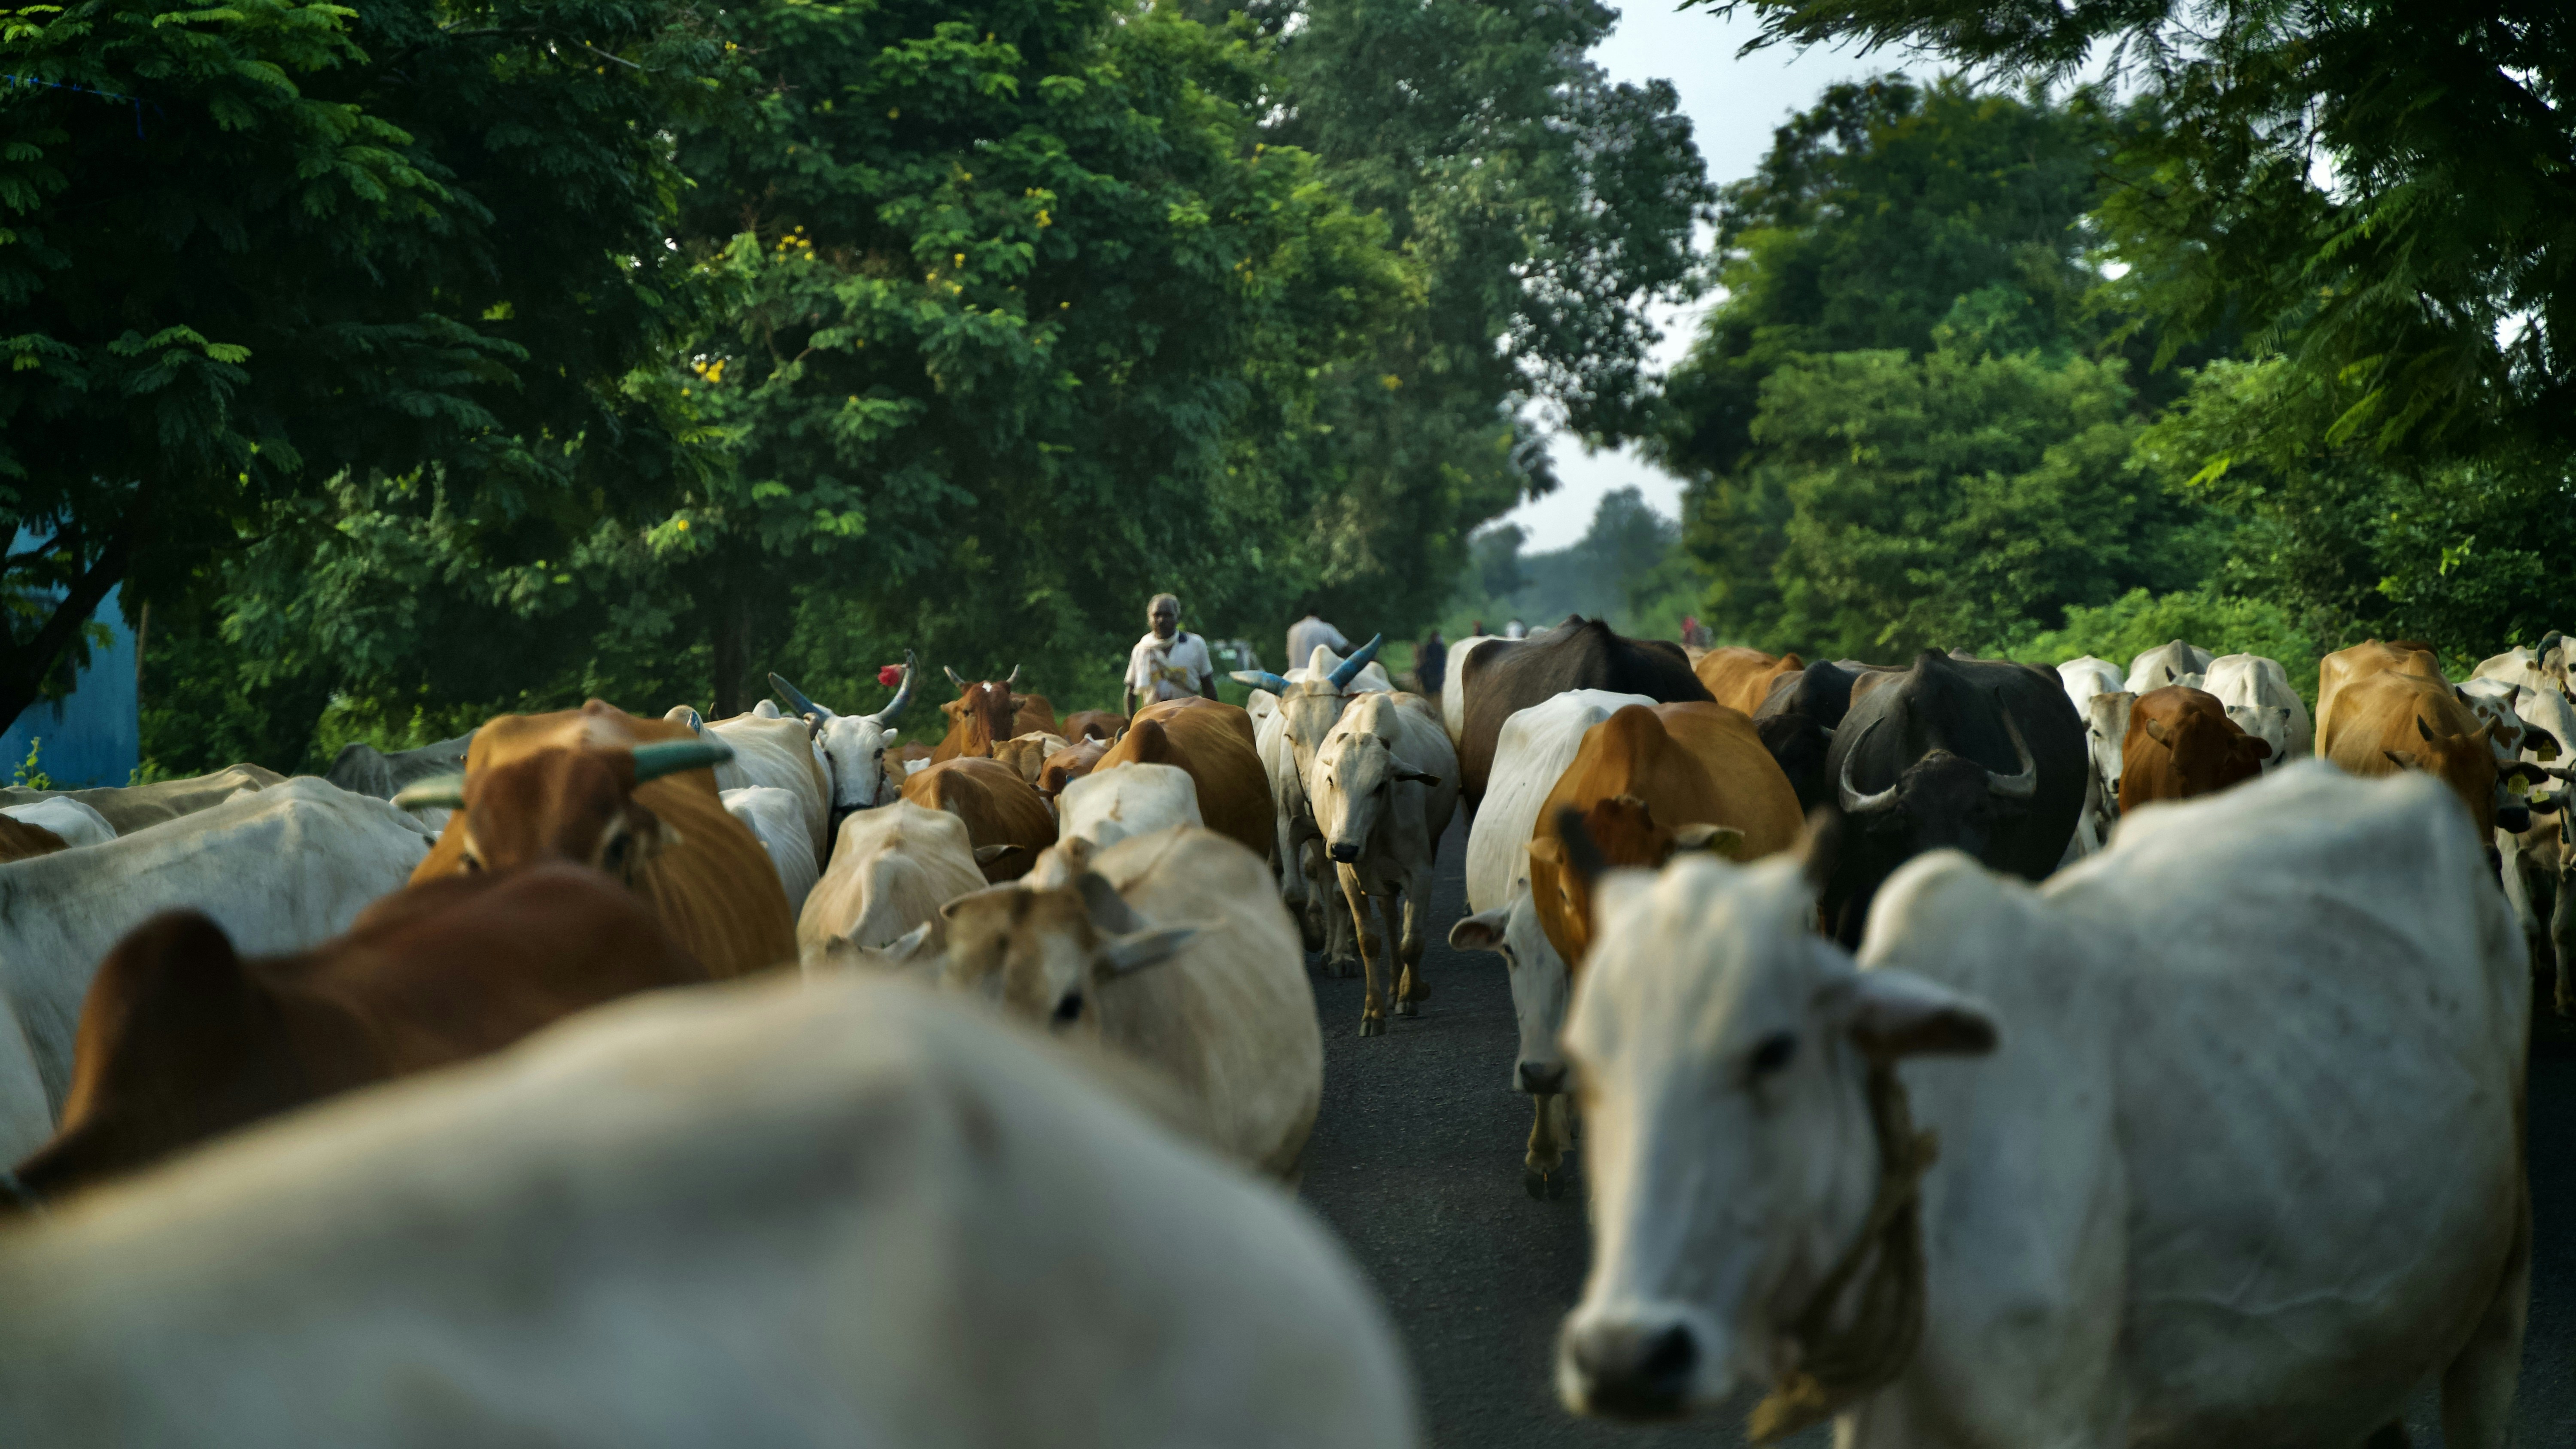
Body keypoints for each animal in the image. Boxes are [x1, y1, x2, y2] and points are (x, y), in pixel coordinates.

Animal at [1312, 692, 1458, 1038]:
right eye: (1331, 780)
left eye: (1380, 785)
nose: (1343, 847)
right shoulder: (1349, 877)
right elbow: (1369, 941)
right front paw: (1373, 1013)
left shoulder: (1421, 873)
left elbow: (1412, 941)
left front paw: (1411, 994)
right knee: (1391, 919)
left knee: (1401, 925)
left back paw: (1400, 989)